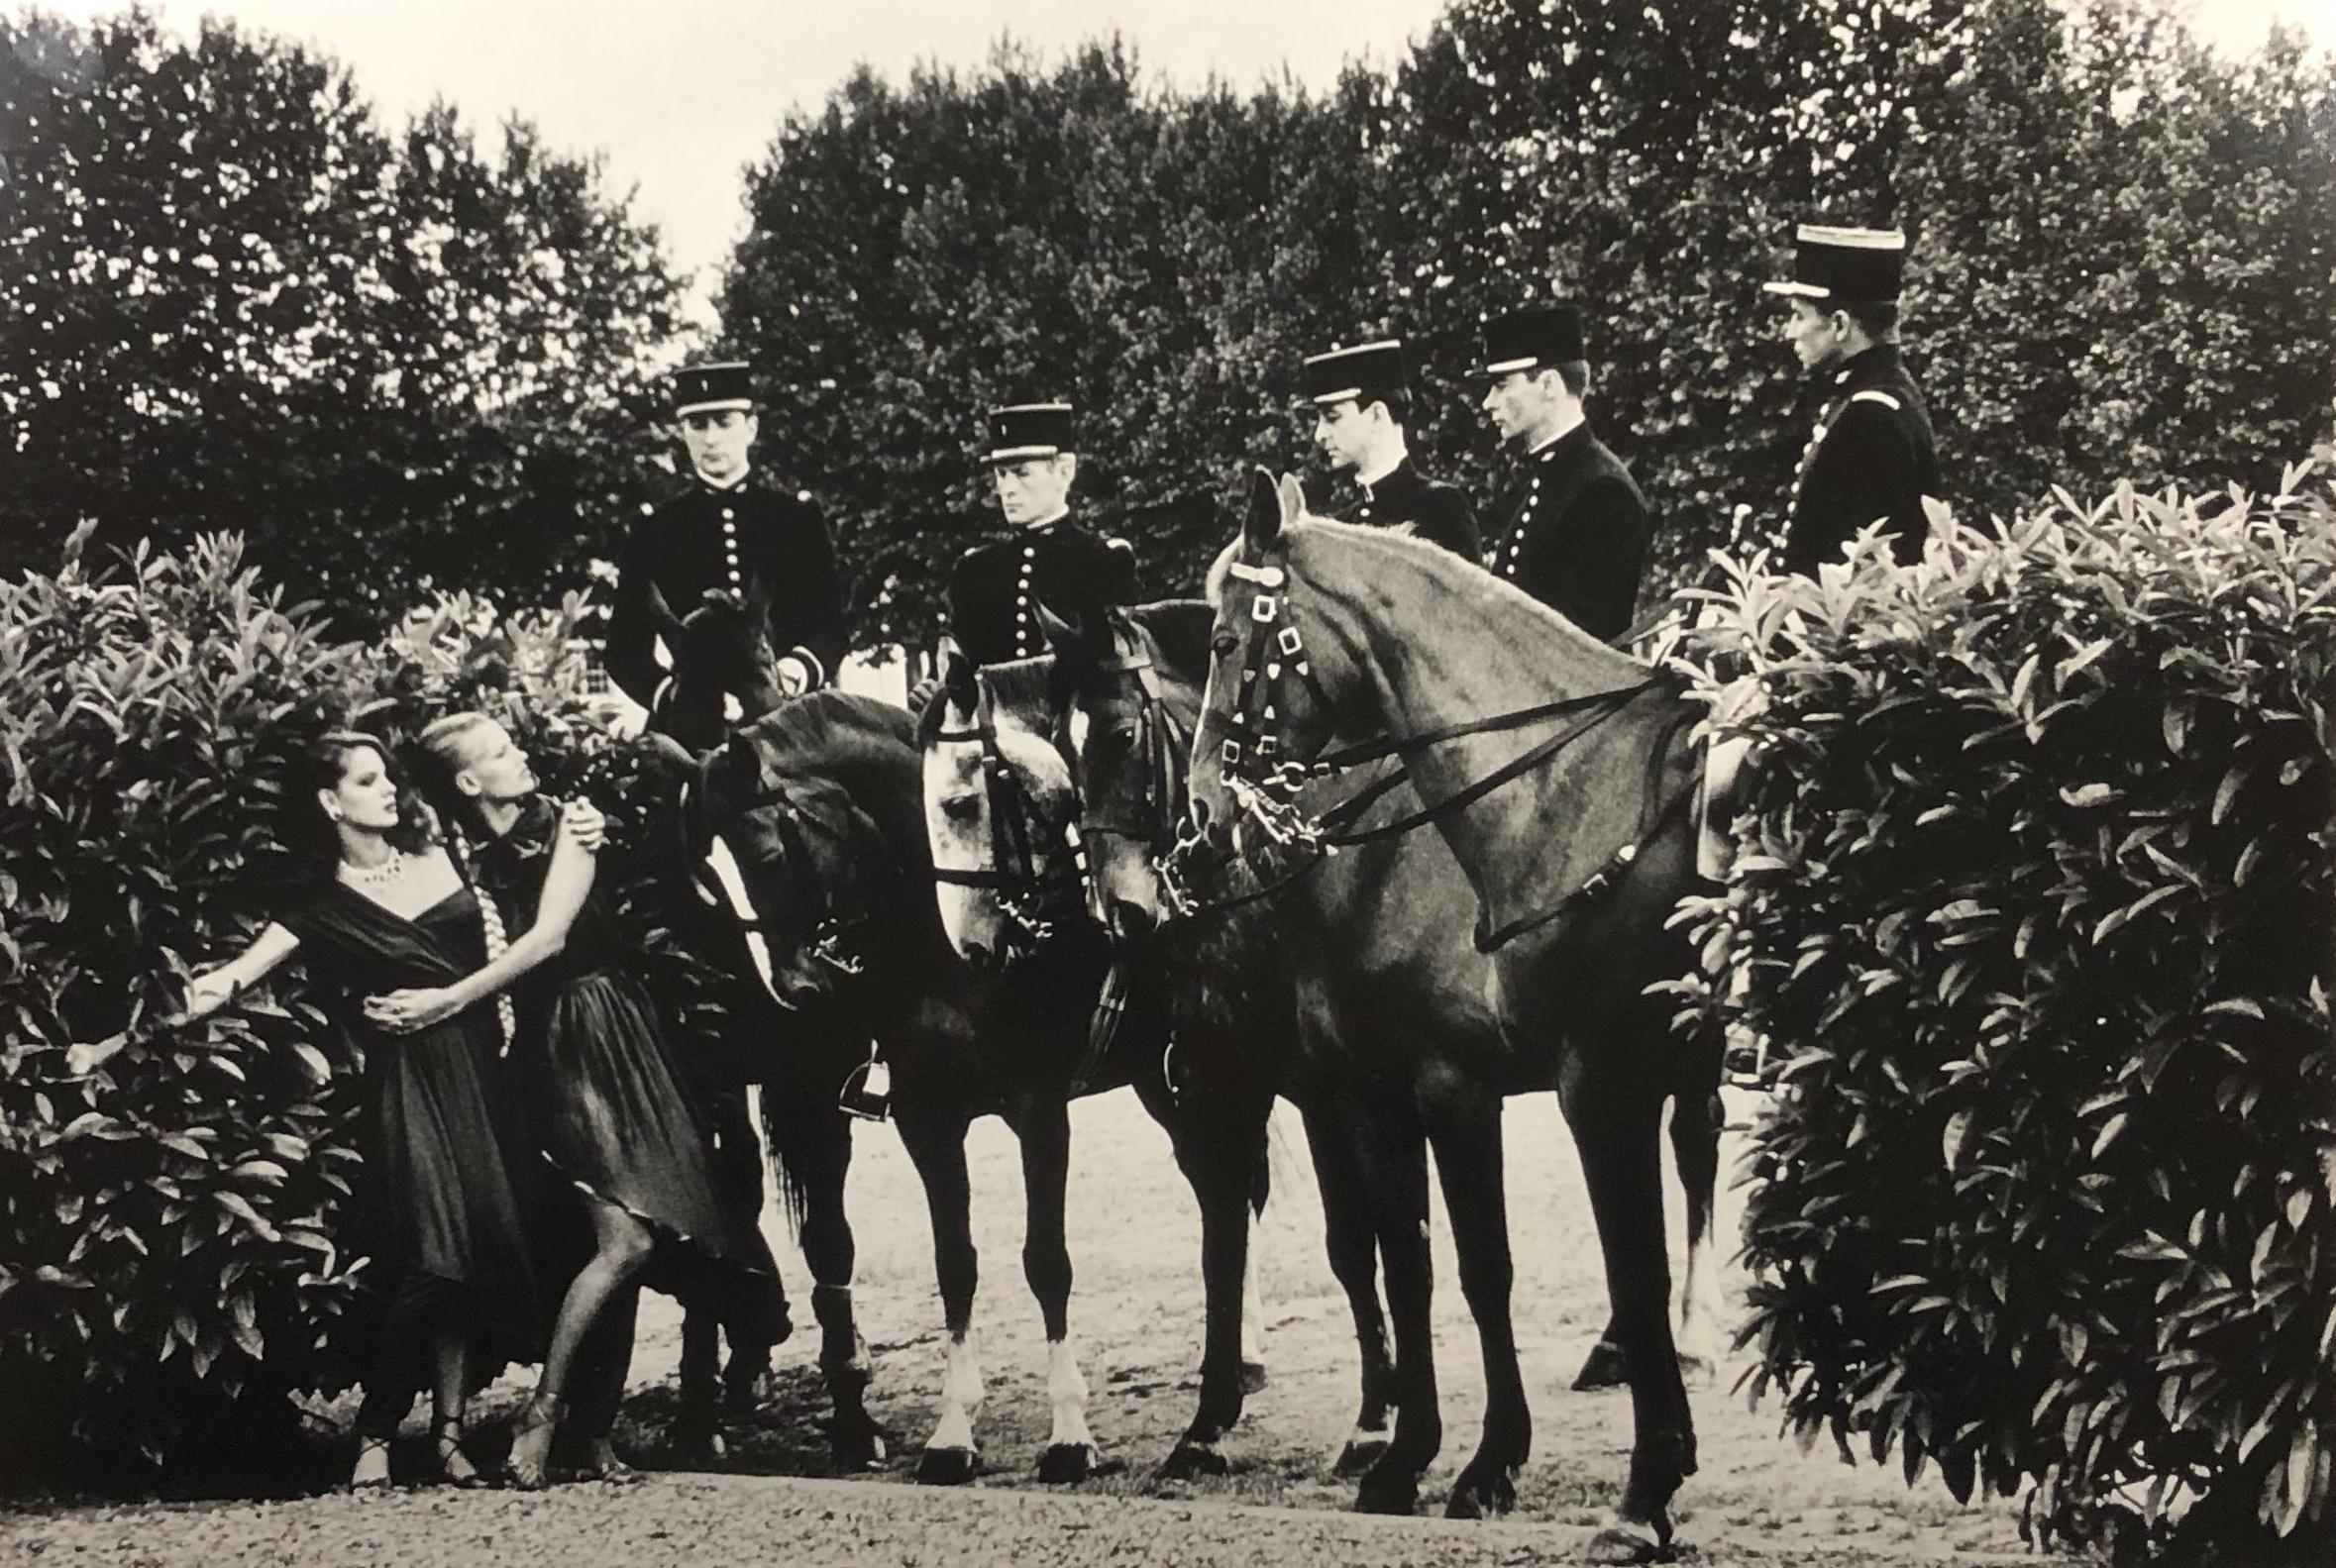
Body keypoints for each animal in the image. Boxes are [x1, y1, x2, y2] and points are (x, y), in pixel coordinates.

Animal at [668, 691, 1289, 1486]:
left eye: (770, 855)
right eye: (710, 885)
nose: (797, 992)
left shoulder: (1039, 1114)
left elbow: (1046, 1262)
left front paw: (1069, 1433)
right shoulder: (928, 1122)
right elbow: (955, 1265)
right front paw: (953, 1431)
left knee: (1233, 1198)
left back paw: (1237, 1369)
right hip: (1163, 1083)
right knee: (1224, 1195)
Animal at [1196, 471, 1728, 1560]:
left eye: (1225, 640)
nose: (1201, 822)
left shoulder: (1549, 1083)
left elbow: (1569, 1270)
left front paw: (1615, 1481)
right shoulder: (1372, 1092)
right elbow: (1410, 1262)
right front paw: (1415, 1451)